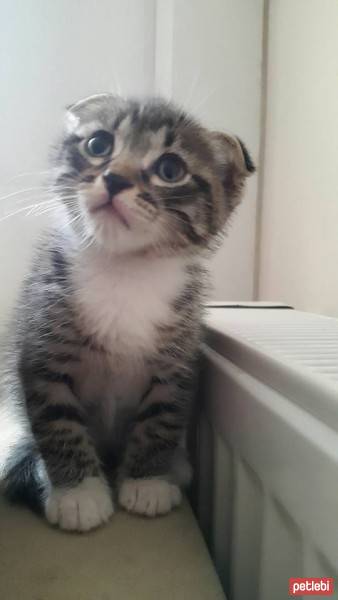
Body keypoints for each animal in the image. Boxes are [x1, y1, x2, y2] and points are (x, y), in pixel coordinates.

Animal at [0, 96, 254, 532]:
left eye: (171, 169)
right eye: (99, 144)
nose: (116, 179)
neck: (123, 267)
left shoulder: (177, 359)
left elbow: (161, 419)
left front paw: (147, 481)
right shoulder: (42, 347)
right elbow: (57, 420)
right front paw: (78, 493)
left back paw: (175, 467)